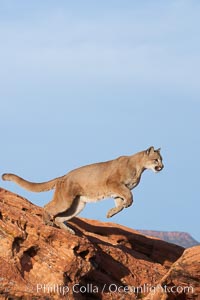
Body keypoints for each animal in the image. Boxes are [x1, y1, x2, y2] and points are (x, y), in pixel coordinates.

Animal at [1, 146, 164, 233]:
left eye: (162, 159)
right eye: (156, 159)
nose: (162, 167)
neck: (140, 168)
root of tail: (63, 176)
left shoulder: (116, 191)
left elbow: (120, 203)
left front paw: (111, 213)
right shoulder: (114, 183)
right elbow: (129, 195)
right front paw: (127, 203)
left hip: (77, 205)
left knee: (59, 217)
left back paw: (68, 230)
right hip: (65, 201)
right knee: (47, 207)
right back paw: (47, 221)